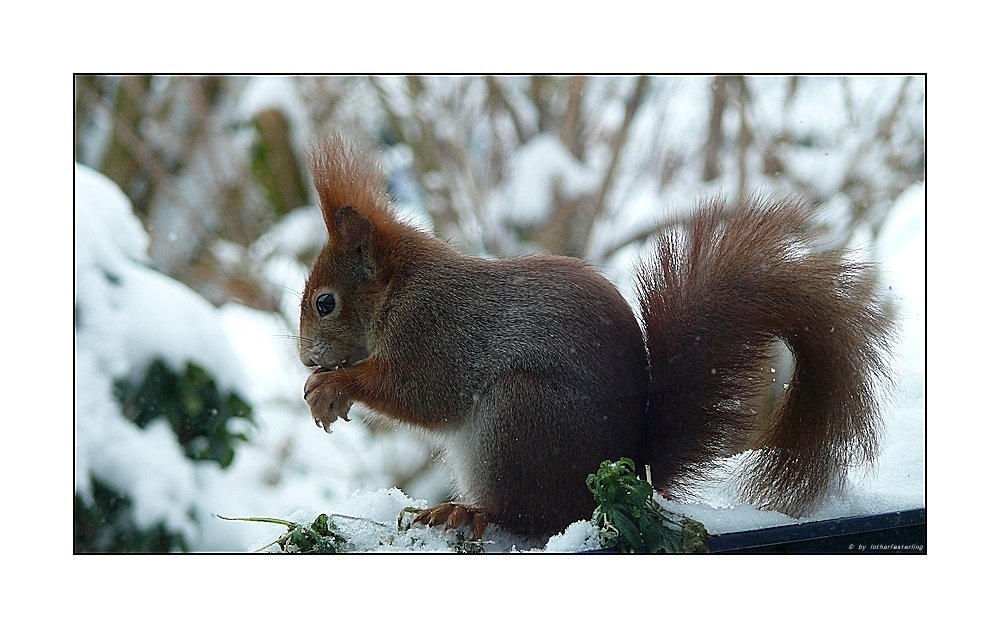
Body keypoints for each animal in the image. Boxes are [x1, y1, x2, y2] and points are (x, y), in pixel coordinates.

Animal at [300, 137, 896, 540]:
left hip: (519, 417)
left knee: (530, 515)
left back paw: (467, 510)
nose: (307, 358)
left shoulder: (436, 331)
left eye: (325, 302)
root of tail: (629, 465)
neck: (401, 289)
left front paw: (334, 387)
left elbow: (422, 392)